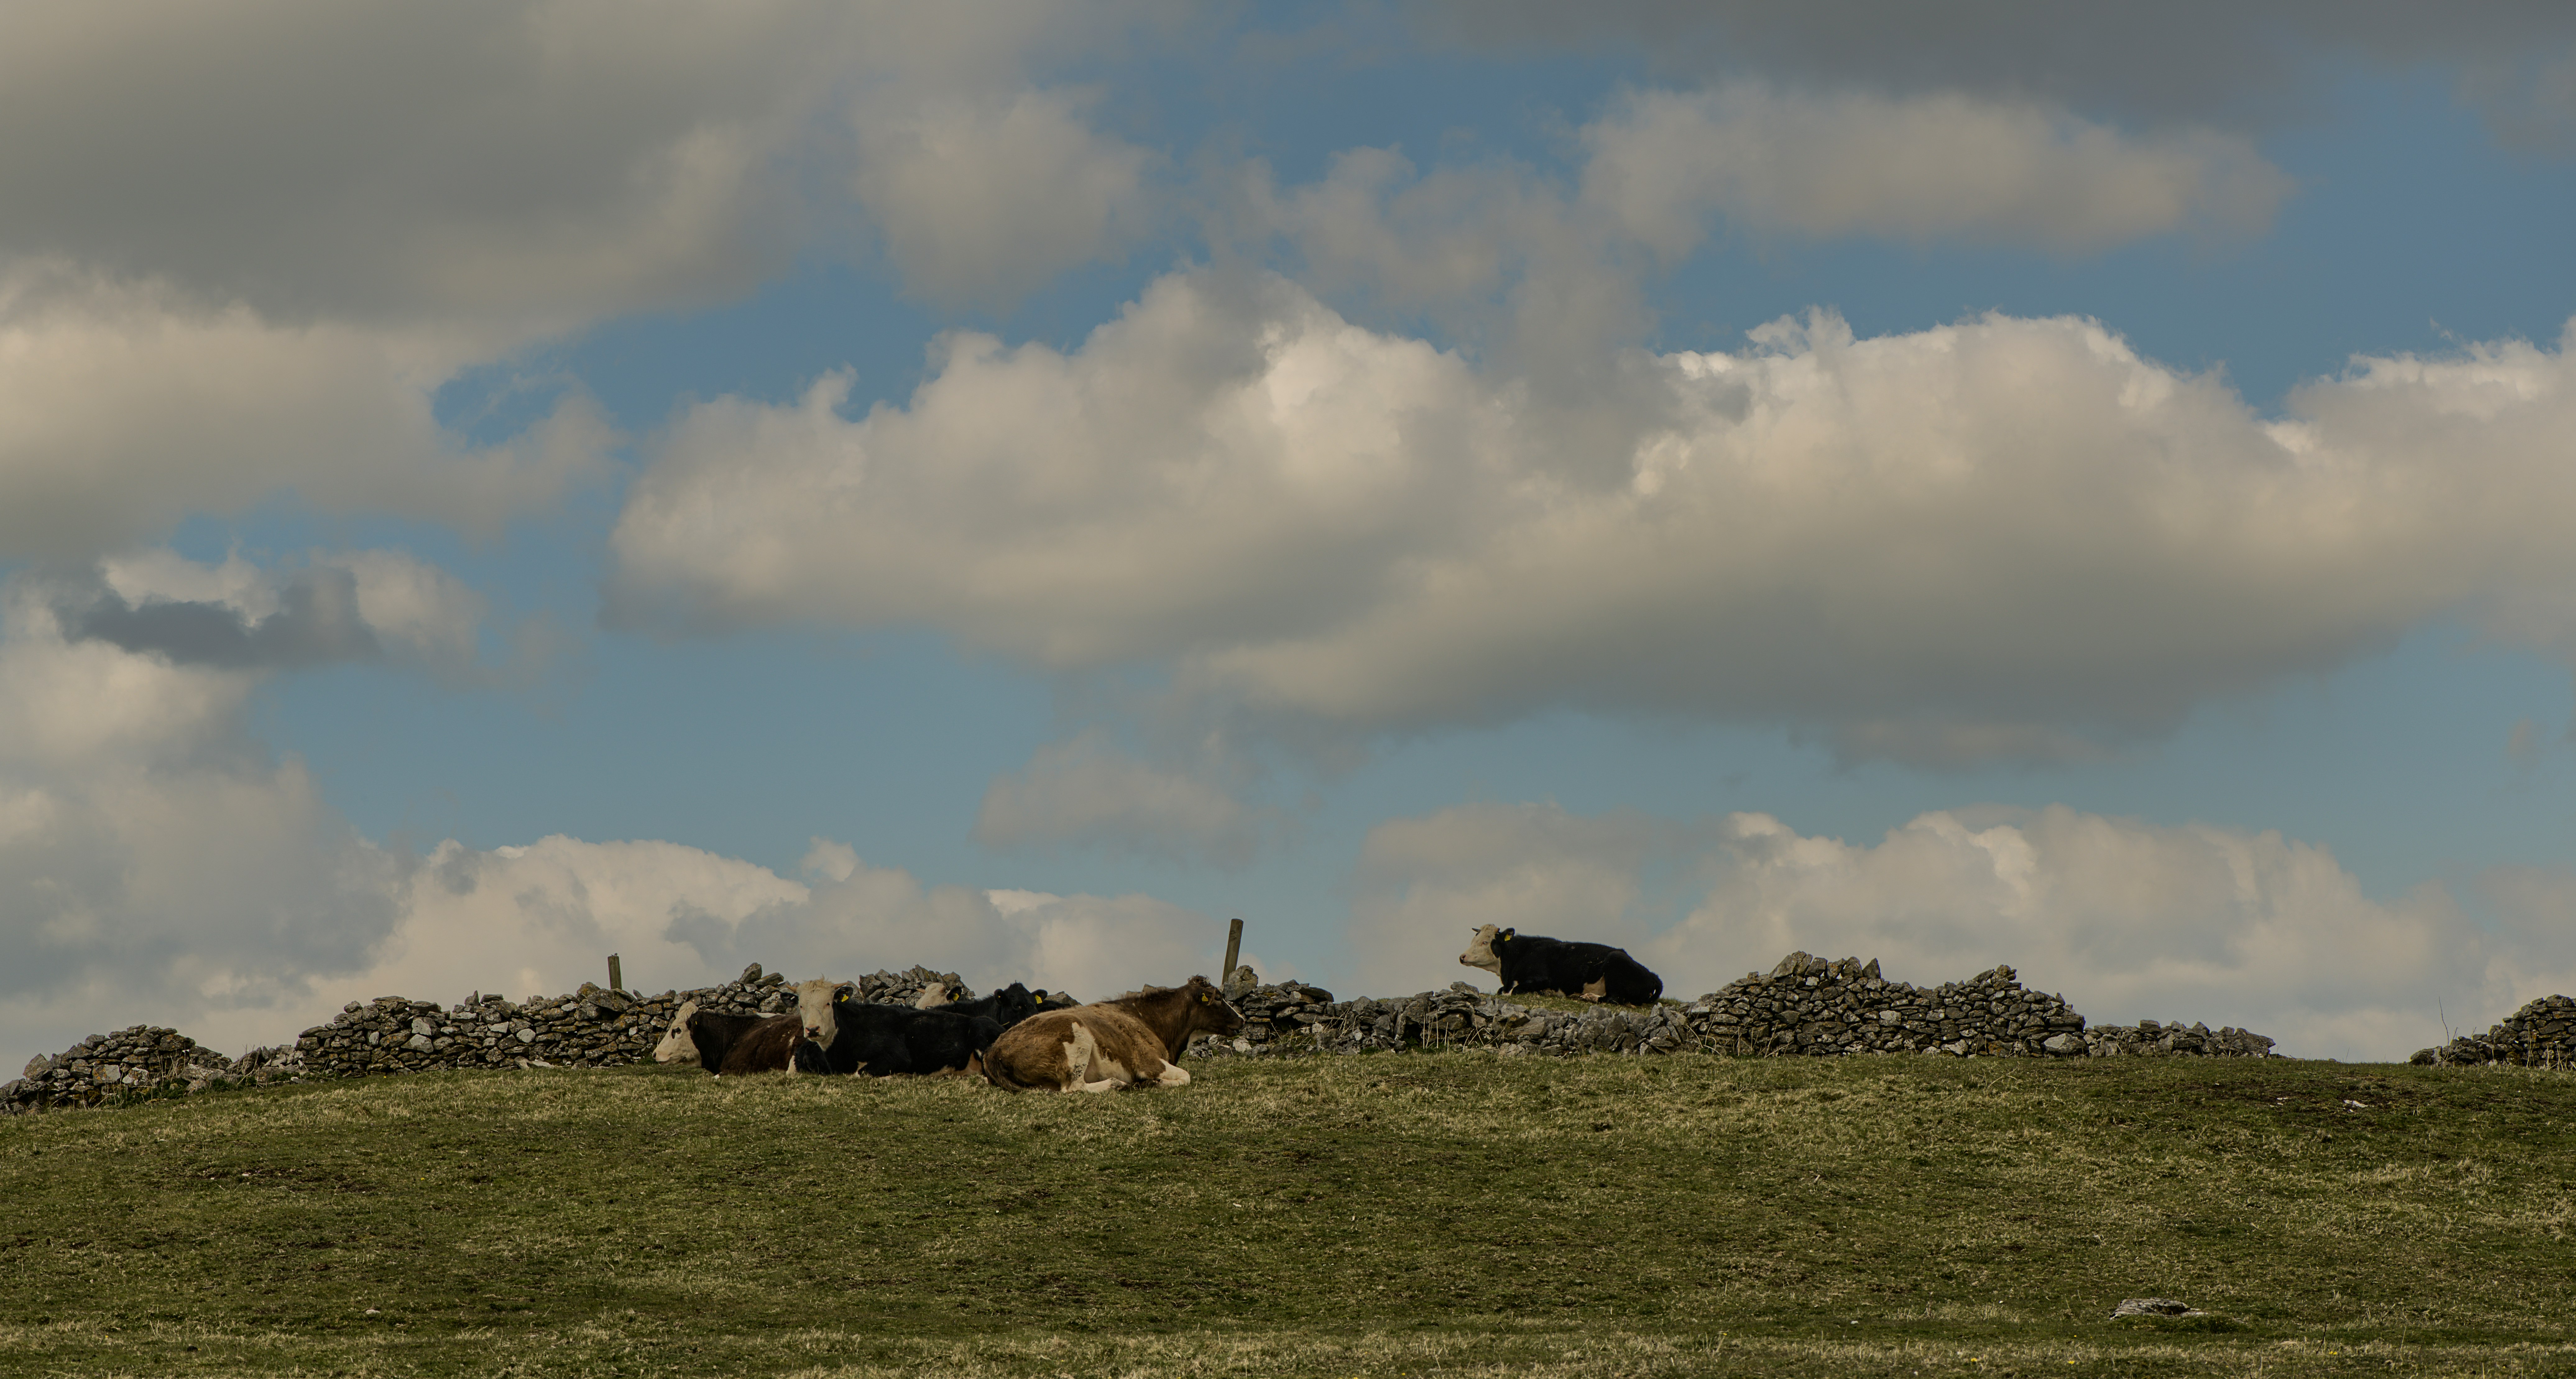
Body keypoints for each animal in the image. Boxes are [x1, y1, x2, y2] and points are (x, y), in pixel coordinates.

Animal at [793, 974, 1004, 1082]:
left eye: (828, 1003)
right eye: (801, 1006)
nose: (813, 1030)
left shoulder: (898, 1056)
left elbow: (861, 1074)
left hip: (980, 1032)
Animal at [979, 974, 1242, 1098]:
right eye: (1219, 998)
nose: (1241, 1020)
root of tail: (994, 1049)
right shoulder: (1147, 1061)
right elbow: (1186, 1076)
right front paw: (1153, 1083)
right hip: (1077, 1036)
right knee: (1074, 1088)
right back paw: (1118, 1085)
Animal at [1463, 923, 1659, 1010]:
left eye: (1485, 942)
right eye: (1474, 940)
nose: (1462, 957)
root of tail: (1653, 975)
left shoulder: (1542, 979)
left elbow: (1516, 991)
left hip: (1615, 966)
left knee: (1613, 999)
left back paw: (1588, 997)